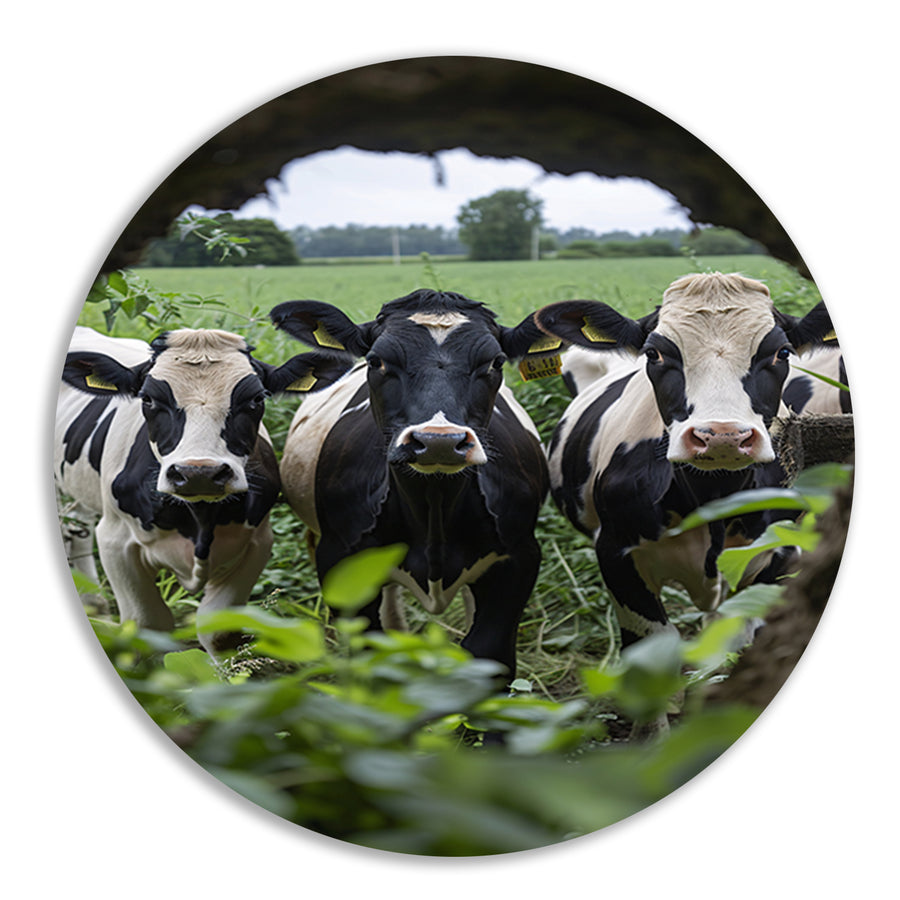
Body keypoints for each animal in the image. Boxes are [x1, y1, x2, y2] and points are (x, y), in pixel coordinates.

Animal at [55, 325, 350, 653]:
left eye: (256, 399)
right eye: (148, 399)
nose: (199, 473)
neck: (199, 521)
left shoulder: (258, 542)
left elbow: (220, 632)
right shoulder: (115, 541)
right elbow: (149, 626)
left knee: (78, 527)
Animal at [270, 289, 551, 678]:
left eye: (495, 362)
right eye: (376, 361)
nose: (438, 441)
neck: (433, 507)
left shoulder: (519, 557)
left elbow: (487, 655)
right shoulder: (338, 557)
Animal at [533, 272, 838, 653]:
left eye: (781, 353)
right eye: (654, 353)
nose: (723, 435)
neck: (714, 495)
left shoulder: (780, 550)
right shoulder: (616, 553)